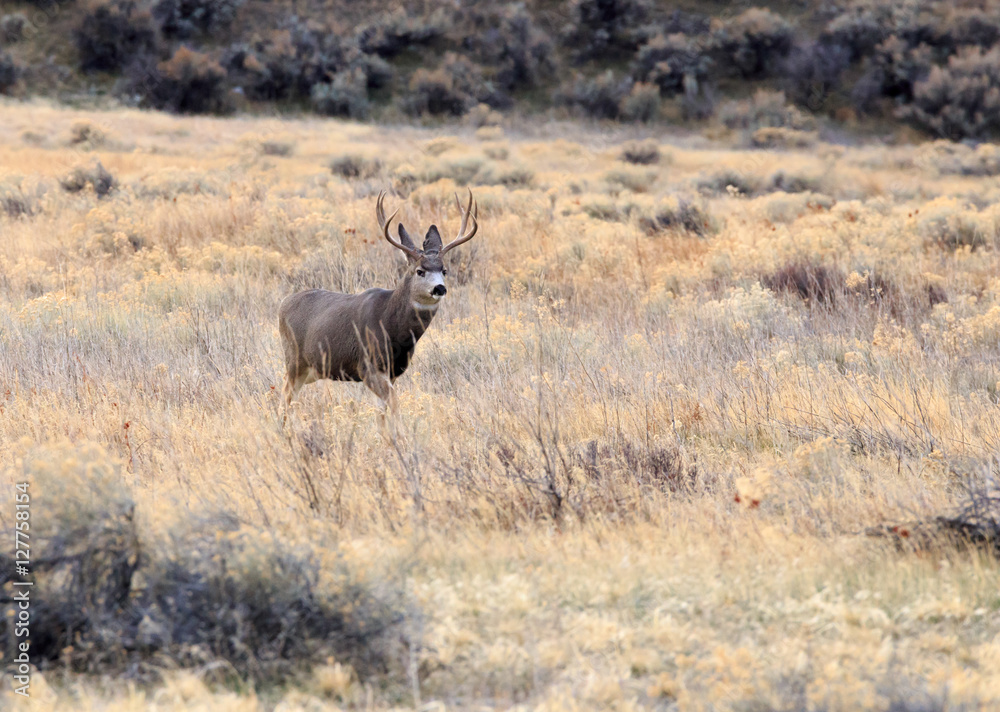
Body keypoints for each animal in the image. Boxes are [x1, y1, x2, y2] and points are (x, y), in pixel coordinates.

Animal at [278, 189, 478, 418]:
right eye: (420, 271)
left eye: (444, 270)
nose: (439, 288)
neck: (392, 326)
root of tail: (283, 304)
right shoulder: (367, 366)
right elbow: (394, 404)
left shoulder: (392, 372)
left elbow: (382, 412)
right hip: (294, 360)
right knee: (284, 397)